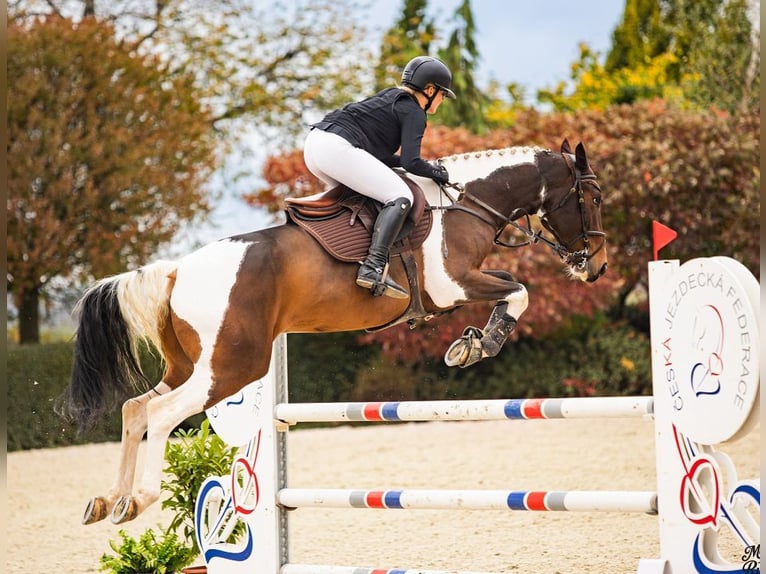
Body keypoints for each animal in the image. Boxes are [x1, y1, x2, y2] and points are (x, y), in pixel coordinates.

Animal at [58, 139, 607, 526]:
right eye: (593, 197)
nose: (596, 266)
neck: (468, 202)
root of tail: (177, 270)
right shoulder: (452, 285)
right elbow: (520, 291)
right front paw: (476, 346)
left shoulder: (460, 285)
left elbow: (514, 289)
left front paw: (469, 344)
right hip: (233, 367)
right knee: (161, 414)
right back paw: (138, 499)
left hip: (191, 365)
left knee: (135, 409)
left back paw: (109, 500)